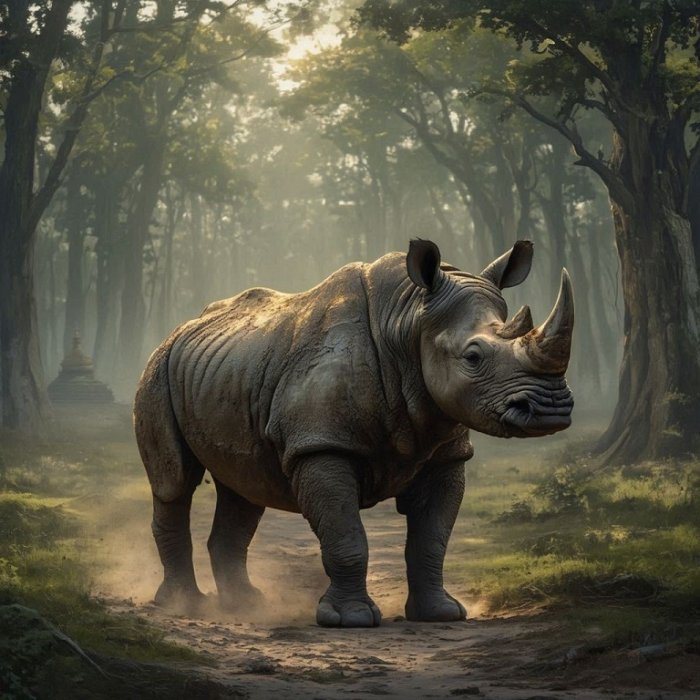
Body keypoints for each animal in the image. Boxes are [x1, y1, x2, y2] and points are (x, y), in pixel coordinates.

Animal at [134, 239, 574, 627]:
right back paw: (184, 605)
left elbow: (432, 538)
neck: (409, 321)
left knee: (244, 487)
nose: (550, 409)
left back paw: (245, 605)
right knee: (175, 482)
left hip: (228, 369)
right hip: (157, 370)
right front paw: (350, 620)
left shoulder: (445, 449)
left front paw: (442, 614)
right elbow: (345, 535)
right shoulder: (321, 445)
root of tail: (180, 329)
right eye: (473, 357)